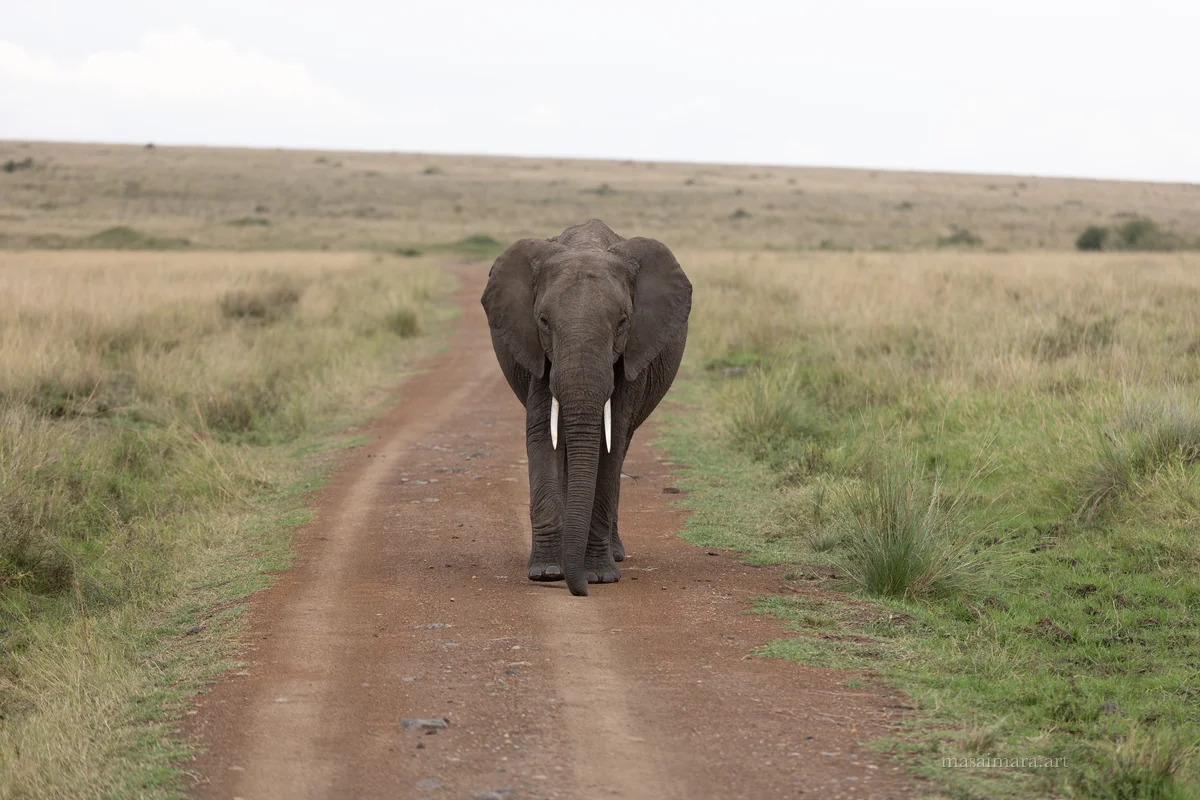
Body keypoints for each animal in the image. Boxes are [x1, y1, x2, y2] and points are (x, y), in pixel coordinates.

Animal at [481, 219, 692, 596]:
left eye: (622, 321)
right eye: (543, 321)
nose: (579, 590)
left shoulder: (632, 353)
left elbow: (612, 440)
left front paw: (598, 576)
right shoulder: (537, 353)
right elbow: (541, 434)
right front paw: (547, 572)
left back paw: (613, 554)